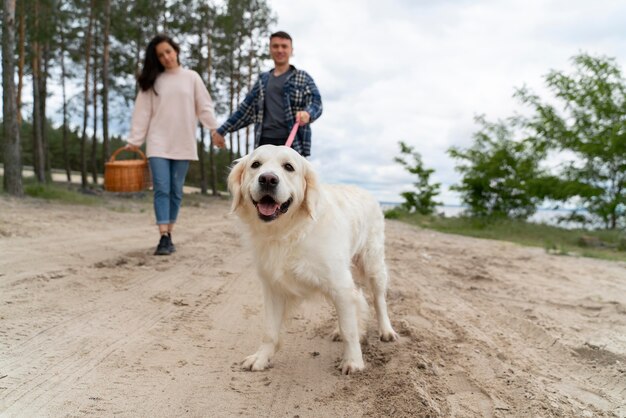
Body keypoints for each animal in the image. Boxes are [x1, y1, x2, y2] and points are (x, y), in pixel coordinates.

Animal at [227, 145, 398, 374]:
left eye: (288, 167)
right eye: (255, 164)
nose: (268, 179)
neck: (290, 232)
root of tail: (364, 190)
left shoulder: (339, 285)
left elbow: (349, 330)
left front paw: (353, 361)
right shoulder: (273, 287)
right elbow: (269, 330)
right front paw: (261, 358)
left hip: (373, 264)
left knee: (379, 300)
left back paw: (386, 330)